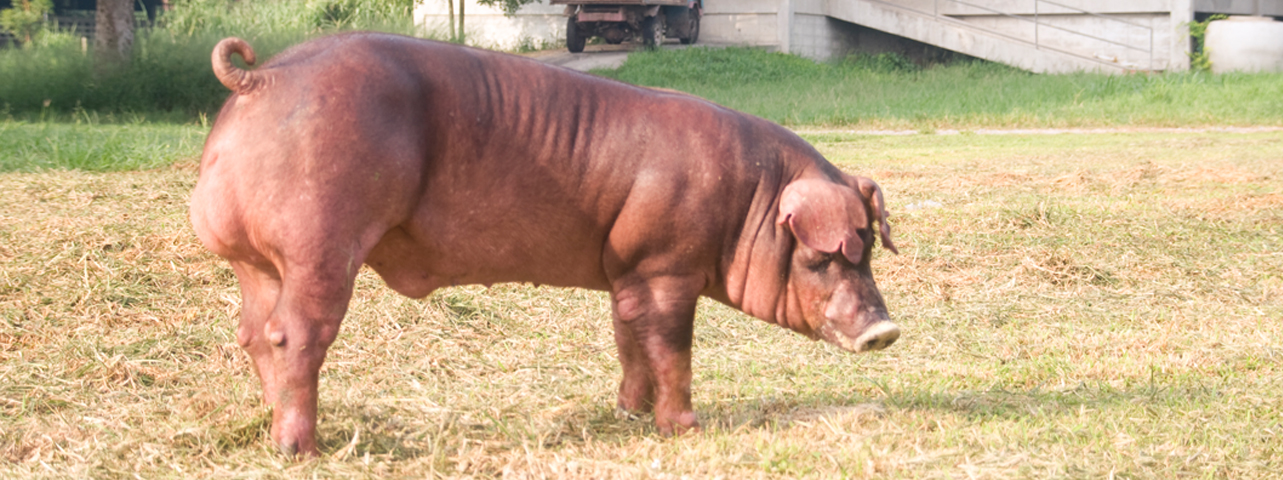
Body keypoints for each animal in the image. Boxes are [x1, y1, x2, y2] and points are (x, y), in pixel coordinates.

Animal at [190, 32, 900, 456]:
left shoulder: (628, 273)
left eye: (867, 246)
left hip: (253, 259)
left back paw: (271, 429)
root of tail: (261, 81)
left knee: (253, 332)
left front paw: (631, 415)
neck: (748, 202)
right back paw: (302, 449)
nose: (885, 329)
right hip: (320, 237)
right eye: (821, 256)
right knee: (294, 333)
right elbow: (673, 348)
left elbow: (629, 340)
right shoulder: (666, 267)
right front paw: (685, 429)